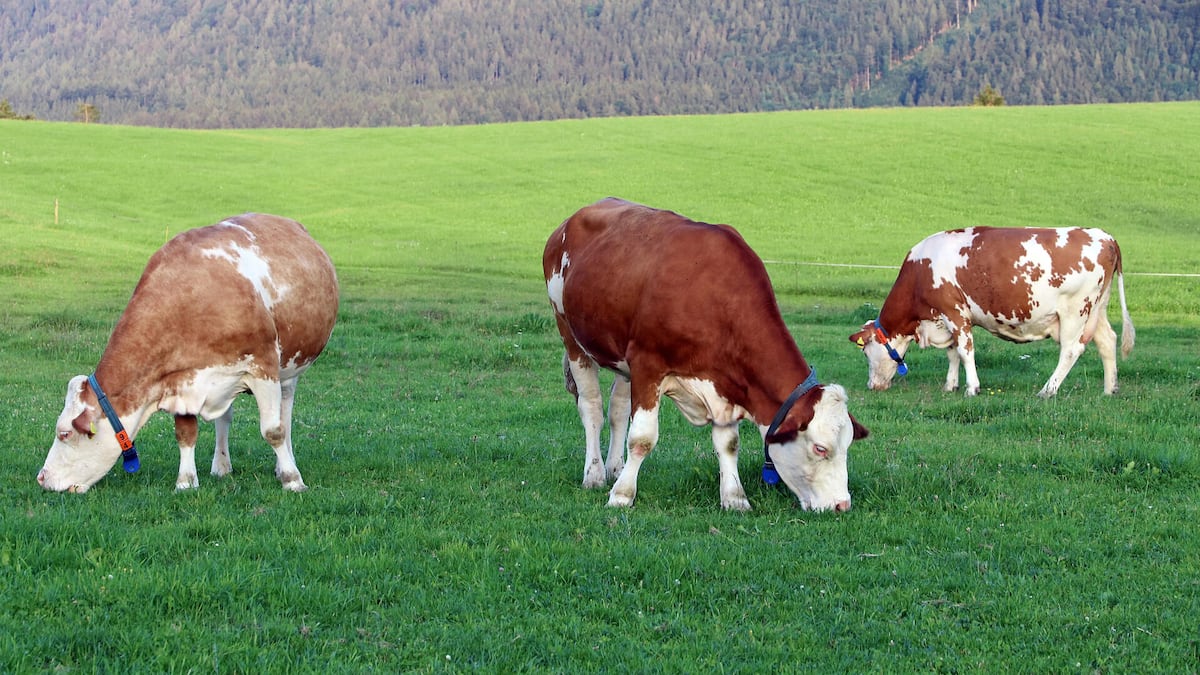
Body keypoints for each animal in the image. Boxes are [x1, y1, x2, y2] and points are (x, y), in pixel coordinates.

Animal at [37, 213, 339, 493]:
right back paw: (221, 466)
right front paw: (185, 482)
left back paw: (284, 465)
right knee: (224, 418)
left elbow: (273, 431)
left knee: (285, 415)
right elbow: (185, 433)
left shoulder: (262, 366)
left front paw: (292, 480)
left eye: (64, 433)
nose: (42, 477)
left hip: (290, 369)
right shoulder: (179, 379)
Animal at [543, 198, 868, 512]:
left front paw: (735, 498)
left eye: (848, 445)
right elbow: (642, 438)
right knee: (592, 409)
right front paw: (622, 495)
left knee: (618, 410)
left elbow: (729, 443)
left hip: (620, 357)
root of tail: (571, 220)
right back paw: (595, 474)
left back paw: (614, 468)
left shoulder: (727, 382)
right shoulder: (648, 365)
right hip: (570, 335)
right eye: (820, 448)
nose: (842, 505)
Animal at [850, 226, 1134, 398]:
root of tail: (1105, 237)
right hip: (1097, 309)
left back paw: (1048, 390)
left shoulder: (954, 311)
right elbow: (953, 352)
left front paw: (972, 388)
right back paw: (1110, 389)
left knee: (1071, 350)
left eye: (865, 352)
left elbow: (965, 351)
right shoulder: (945, 318)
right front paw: (950, 385)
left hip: (1075, 311)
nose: (871, 386)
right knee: (1107, 341)